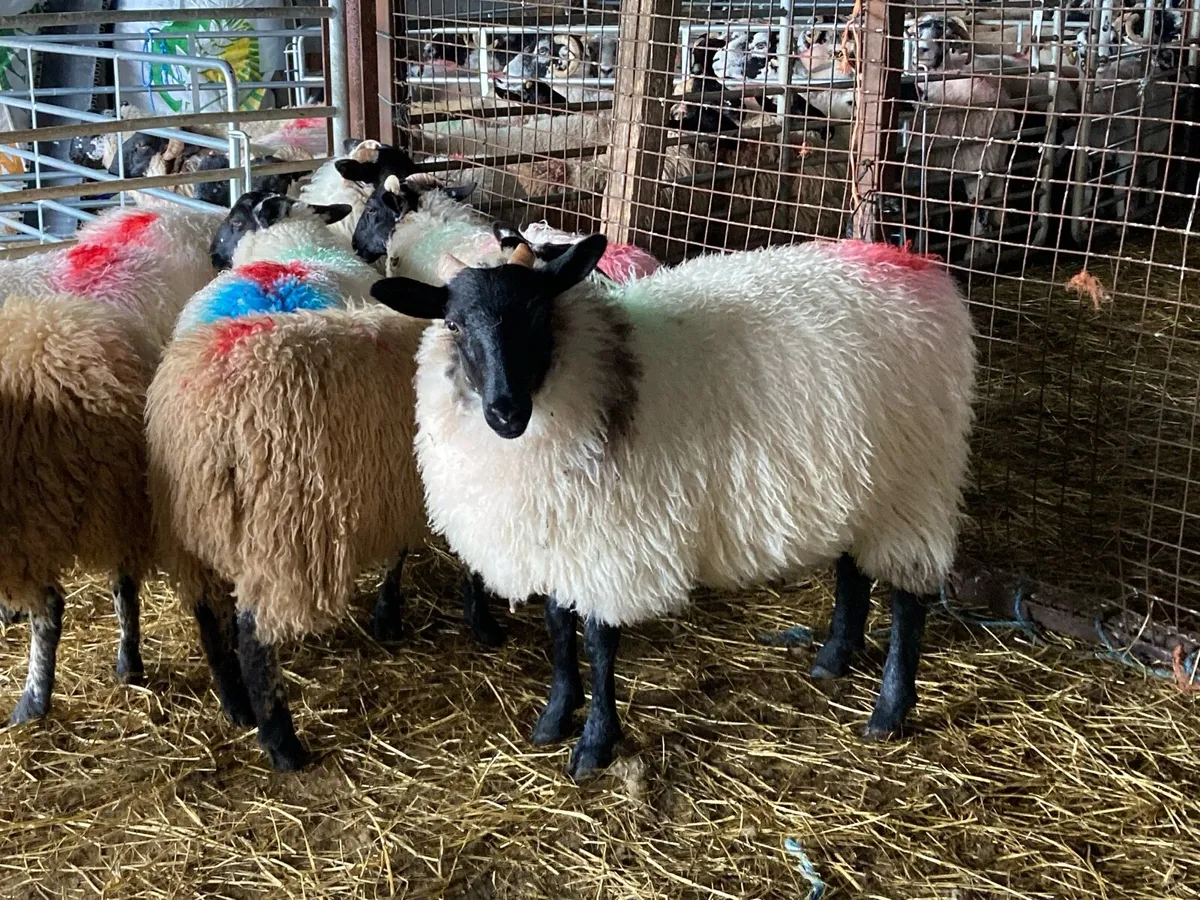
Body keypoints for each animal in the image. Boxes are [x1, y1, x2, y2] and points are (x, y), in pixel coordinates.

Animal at [147, 195, 505, 769]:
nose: (212, 254)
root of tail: (205, 418)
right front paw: (472, 619)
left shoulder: (399, 482)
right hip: (276, 533)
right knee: (253, 636)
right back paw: (282, 744)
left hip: (193, 526)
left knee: (208, 615)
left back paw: (235, 704)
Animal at [369, 236, 976, 780]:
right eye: (453, 324)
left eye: (539, 312)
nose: (505, 412)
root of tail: (919, 268)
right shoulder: (561, 533)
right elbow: (559, 630)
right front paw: (554, 718)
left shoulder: (609, 540)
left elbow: (599, 641)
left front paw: (594, 745)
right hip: (862, 481)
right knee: (853, 569)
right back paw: (832, 660)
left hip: (914, 486)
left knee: (908, 601)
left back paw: (889, 712)